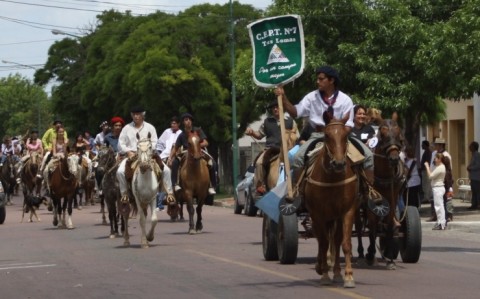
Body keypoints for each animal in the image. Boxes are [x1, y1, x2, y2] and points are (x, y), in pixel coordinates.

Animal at [304, 114, 356, 288]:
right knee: (321, 240)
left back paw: (337, 272)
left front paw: (348, 276)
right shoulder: (318, 214)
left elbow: (345, 243)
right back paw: (321, 266)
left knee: (335, 240)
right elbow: (324, 243)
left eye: (346, 135)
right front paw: (325, 274)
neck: (333, 179)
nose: (339, 164)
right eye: (326, 136)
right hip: (317, 217)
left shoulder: (347, 211)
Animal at [356, 114, 404, 270]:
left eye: (398, 133)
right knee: (358, 227)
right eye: (382, 135)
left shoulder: (392, 199)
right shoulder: (371, 202)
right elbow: (372, 229)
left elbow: (388, 226)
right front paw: (370, 254)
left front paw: (390, 259)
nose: (394, 158)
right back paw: (360, 253)